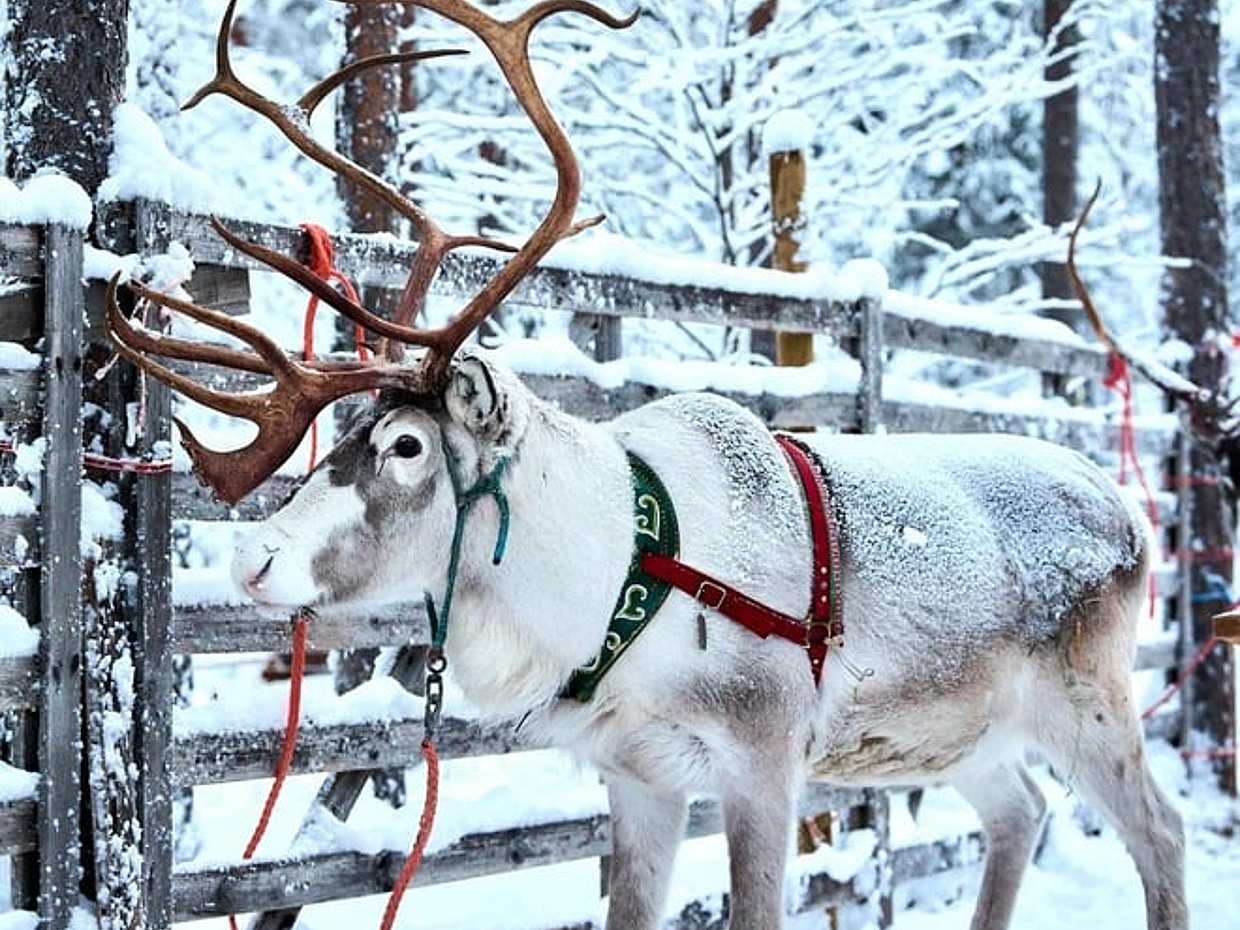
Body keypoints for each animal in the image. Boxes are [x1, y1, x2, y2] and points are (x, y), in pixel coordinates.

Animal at [107, 2, 1189, 929]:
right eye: (348, 431)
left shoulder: (762, 757)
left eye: (407, 445)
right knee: (1020, 813)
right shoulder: (638, 775)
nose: (251, 559)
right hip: (964, 730)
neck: (608, 579)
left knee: (1159, 829)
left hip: (1088, 701)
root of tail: (1130, 511)